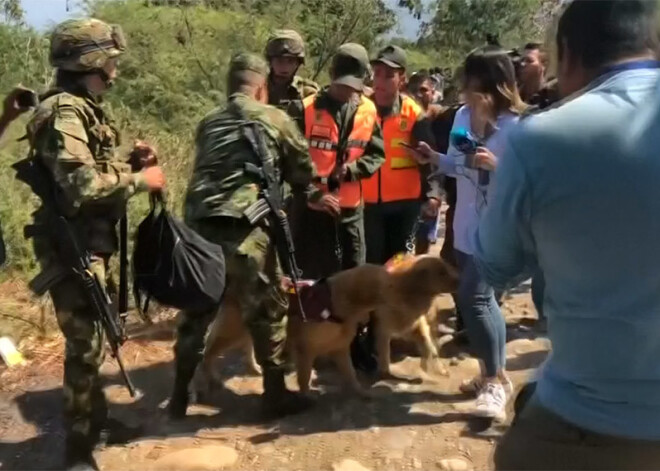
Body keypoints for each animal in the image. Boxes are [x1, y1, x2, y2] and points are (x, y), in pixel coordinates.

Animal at [196, 258, 458, 398]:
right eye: (386, 284)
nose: (461, 277)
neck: (338, 305)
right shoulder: (305, 349)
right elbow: (303, 377)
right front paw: (305, 397)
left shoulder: (340, 349)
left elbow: (351, 374)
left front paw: (361, 392)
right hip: (232, 330)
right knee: (208, 351)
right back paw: (210, 380)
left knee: (245, 347)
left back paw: (255, 368)